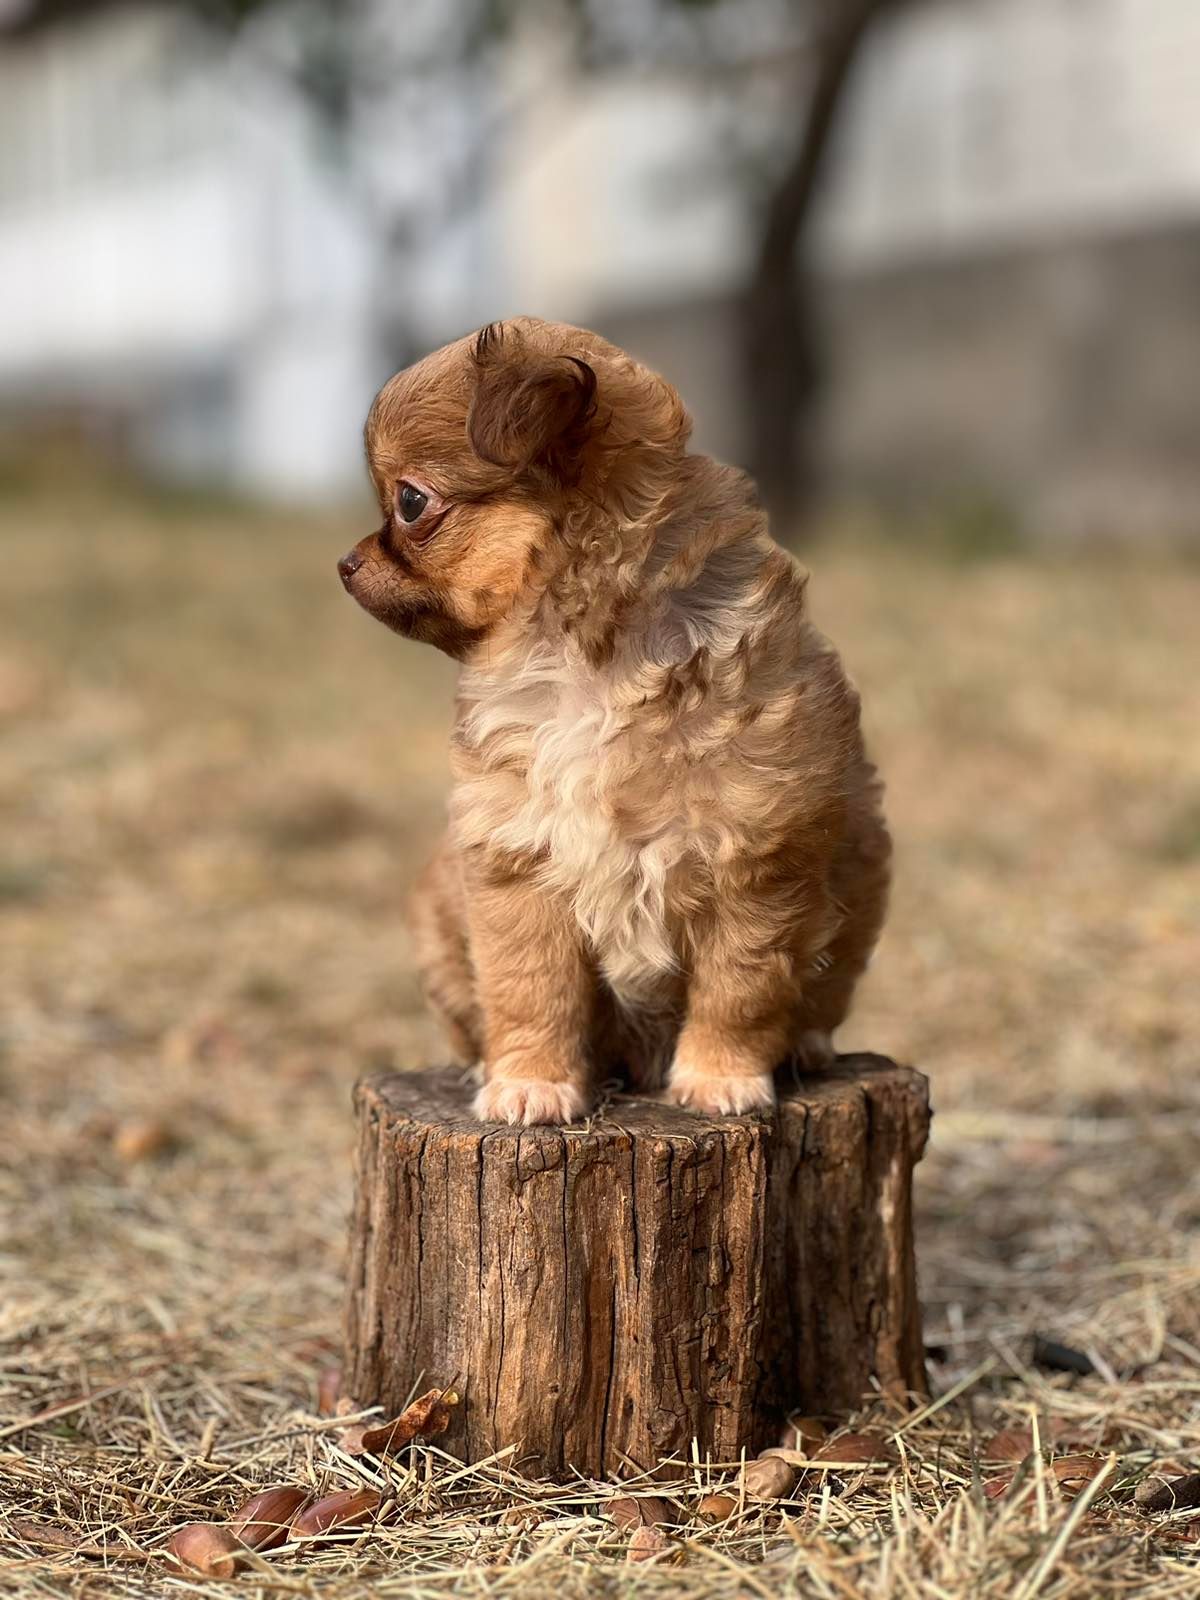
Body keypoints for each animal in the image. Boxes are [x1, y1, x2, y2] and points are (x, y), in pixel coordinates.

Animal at [339, 315, 896, 1126]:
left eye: (409, 504)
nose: (346, 564)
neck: (589, 662)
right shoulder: (516, 863)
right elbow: (530, 989)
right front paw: (531, 1084)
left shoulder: (760, 866)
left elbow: (741, 989)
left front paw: (721, 1078)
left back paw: (807, 1048)